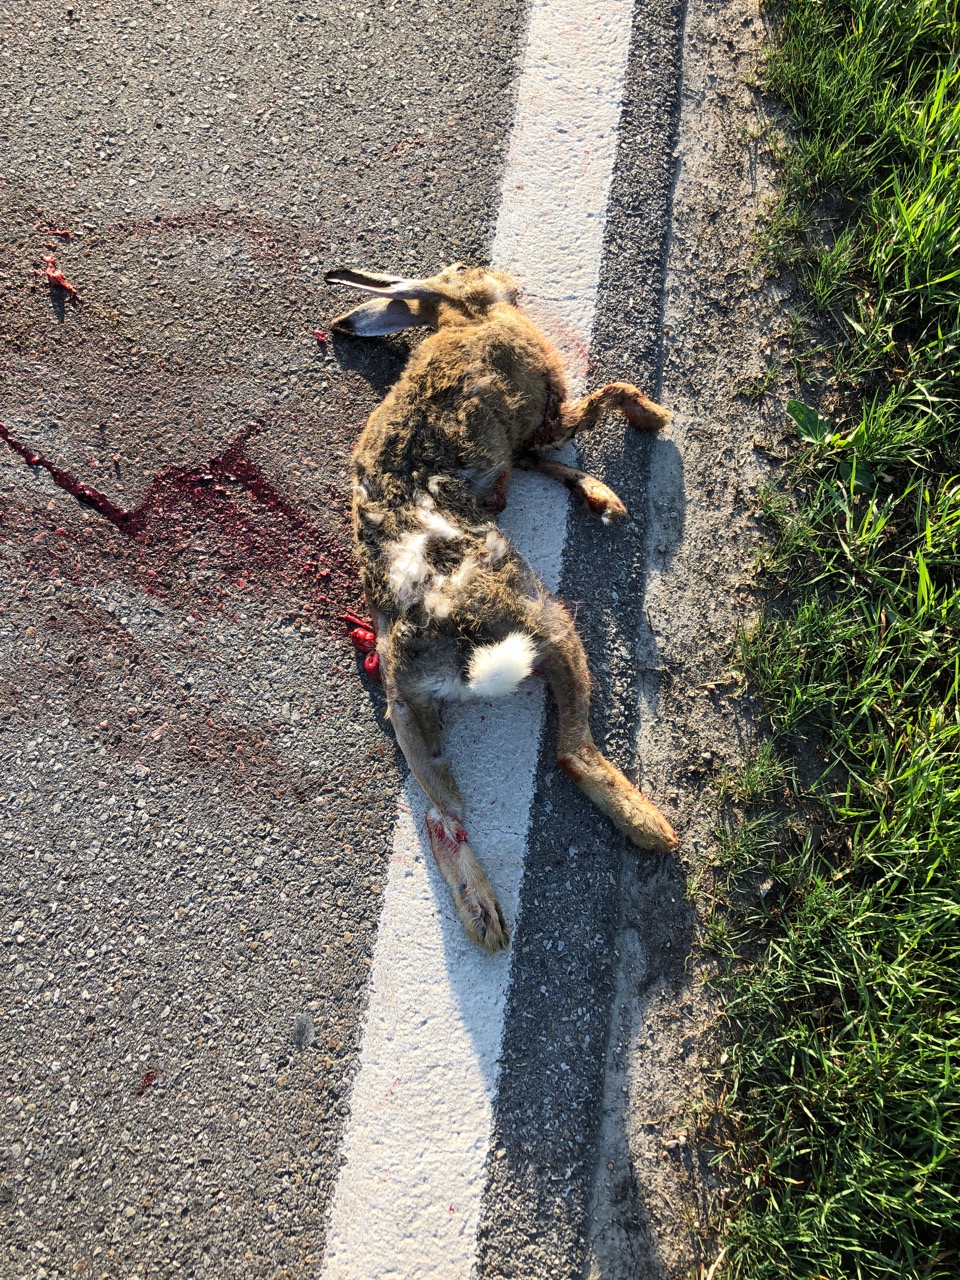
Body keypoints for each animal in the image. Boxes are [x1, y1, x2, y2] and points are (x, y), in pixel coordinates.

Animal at [326, 262, 679, 952]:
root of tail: (457, 645)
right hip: (552, 627)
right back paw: (652, 826)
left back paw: (484, 917)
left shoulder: (522, 449)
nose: (503, 277)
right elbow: (600, 401)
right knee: (572, 749)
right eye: (464, 270)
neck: (464, 317)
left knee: (443, 816)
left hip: (409, 711)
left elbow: (549, 463)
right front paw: (652, 417)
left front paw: (602, 496)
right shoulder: (547, 412)